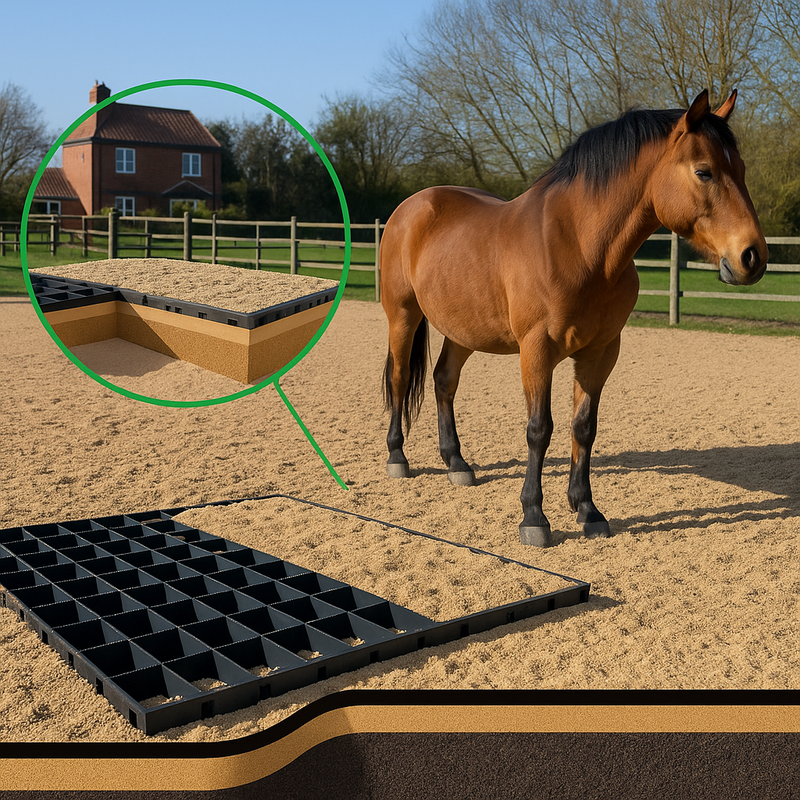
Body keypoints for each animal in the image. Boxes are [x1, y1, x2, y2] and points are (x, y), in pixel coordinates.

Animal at [380, 89, 768, 547]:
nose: (752, 256)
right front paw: (534, 516)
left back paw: (457, 463)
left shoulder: (600, 352)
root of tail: (412, 205)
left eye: (741, 170)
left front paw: (587, 509)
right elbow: (539, 429)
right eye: (704, 171)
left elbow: (583, 427)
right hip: (403, 316)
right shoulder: (536, 351)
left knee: (444, 381)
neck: (580, 247)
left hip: (463, 329)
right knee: (401, 378)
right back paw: (397, 456)